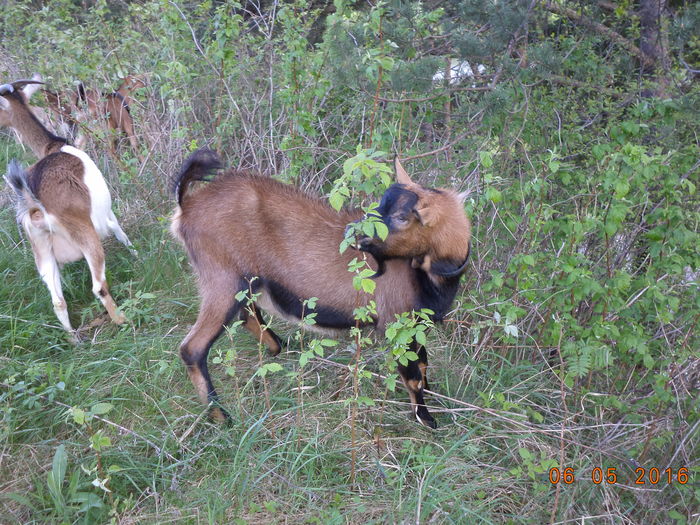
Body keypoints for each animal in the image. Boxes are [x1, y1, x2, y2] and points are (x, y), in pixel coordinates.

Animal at [1, 75, 134, 342]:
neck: (53, 145)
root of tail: (36, 205)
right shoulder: (106, 214)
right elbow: (121, 233)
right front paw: (136, 255)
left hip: (41, 252)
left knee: (58, 301)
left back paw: (74, 339)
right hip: (86, 236)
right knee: (98, 286)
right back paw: (122, 319)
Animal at [172, 147, 474, 426]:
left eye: (402, 216)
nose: (353, 232)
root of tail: (186, 206)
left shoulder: (418, 324)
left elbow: (423, 363)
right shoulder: (397, 321)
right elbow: (413, 376)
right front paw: (427, 420)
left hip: (243, 282)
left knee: (248, 314)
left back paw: (280, 347)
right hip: (222, 278)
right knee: (193, 348)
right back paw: (222, 417)